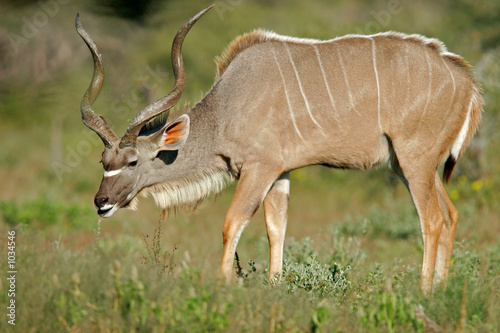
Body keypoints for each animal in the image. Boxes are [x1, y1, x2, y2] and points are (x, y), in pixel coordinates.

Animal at [75, 4, 480, 290]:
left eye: (132, 161)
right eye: (103, 160)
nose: (101, 202)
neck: (227, 108)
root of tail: (465, 78)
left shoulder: (260, 167)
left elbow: (232, 222)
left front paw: (225, 285)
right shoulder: (281, 173)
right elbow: (276, 228)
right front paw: (274, 287)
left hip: (414, 160)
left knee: (431, 219)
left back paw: (424, 292)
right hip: (412, 165)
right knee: (451, 214)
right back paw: (441, 289)